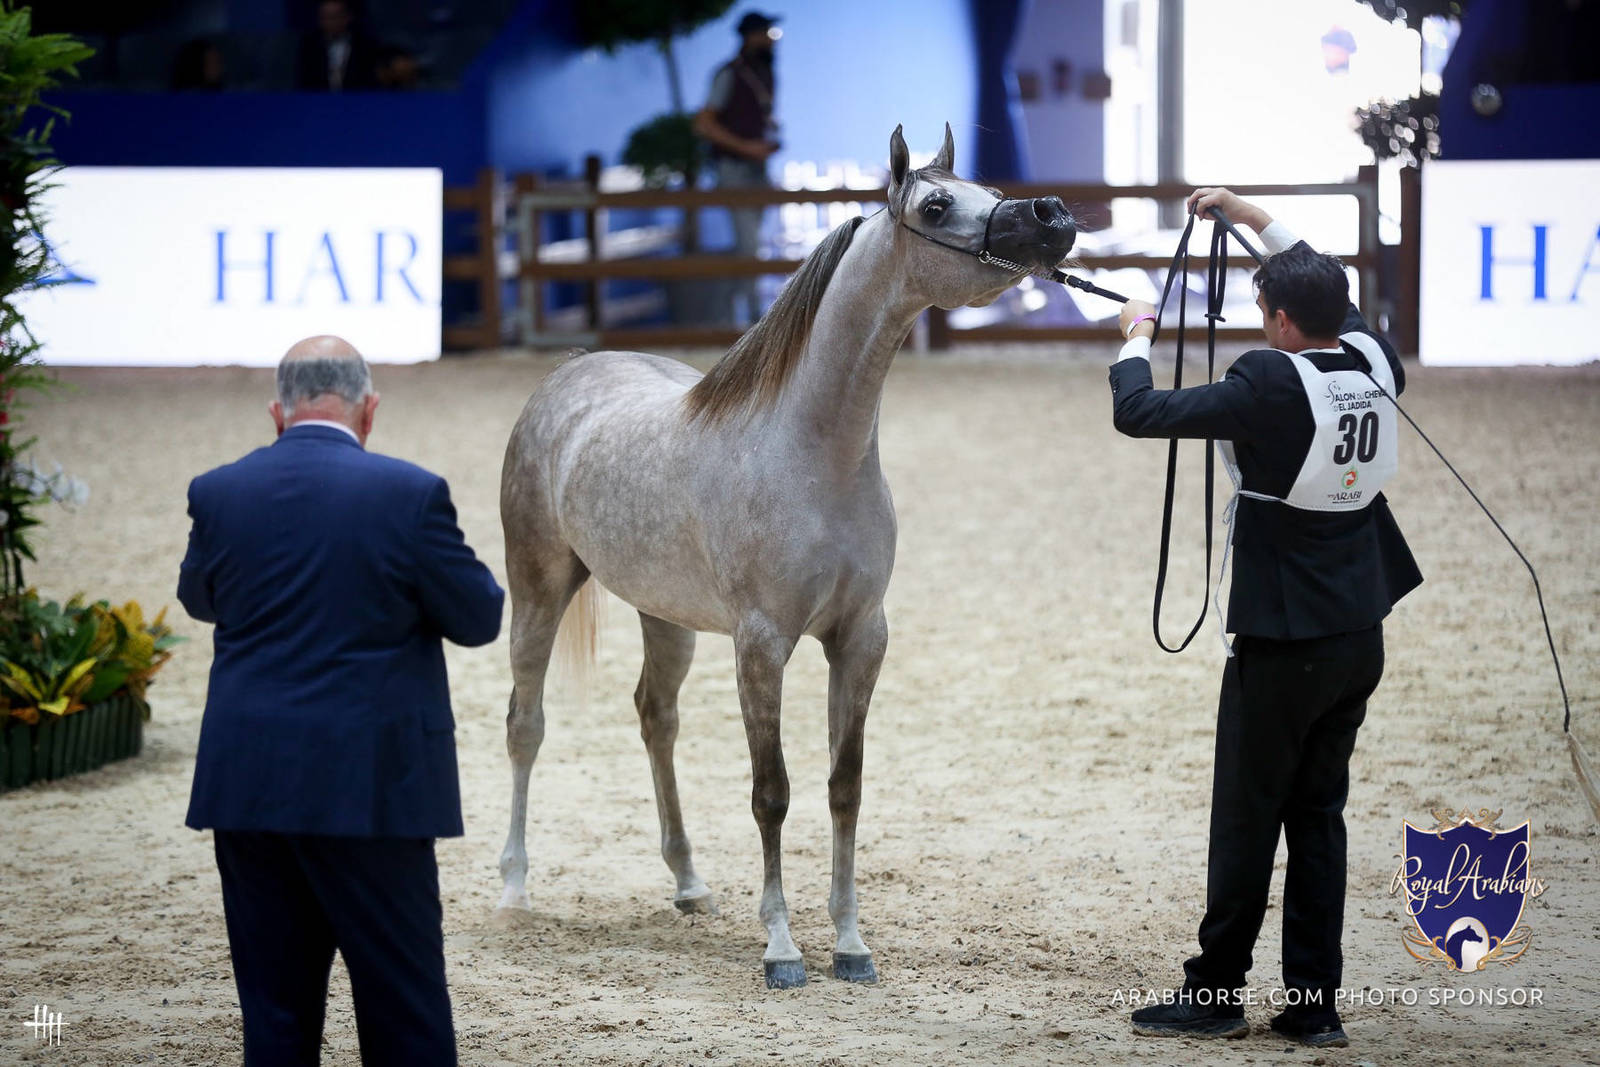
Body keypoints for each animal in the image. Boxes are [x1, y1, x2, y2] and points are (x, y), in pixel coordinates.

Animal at [497, 124, 1076, 988]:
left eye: (988, 187)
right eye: (937, 205)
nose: (1053, 215)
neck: (812, 455)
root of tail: (570, 372)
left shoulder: (861, 637)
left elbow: (845, 785)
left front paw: (850, 941)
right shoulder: (762, 644)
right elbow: (772, 791)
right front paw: (781, 946)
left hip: (664, 615)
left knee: (656, 717)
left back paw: (689, 881)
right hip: (538, 587)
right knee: (525, 724)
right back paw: (514, 886)